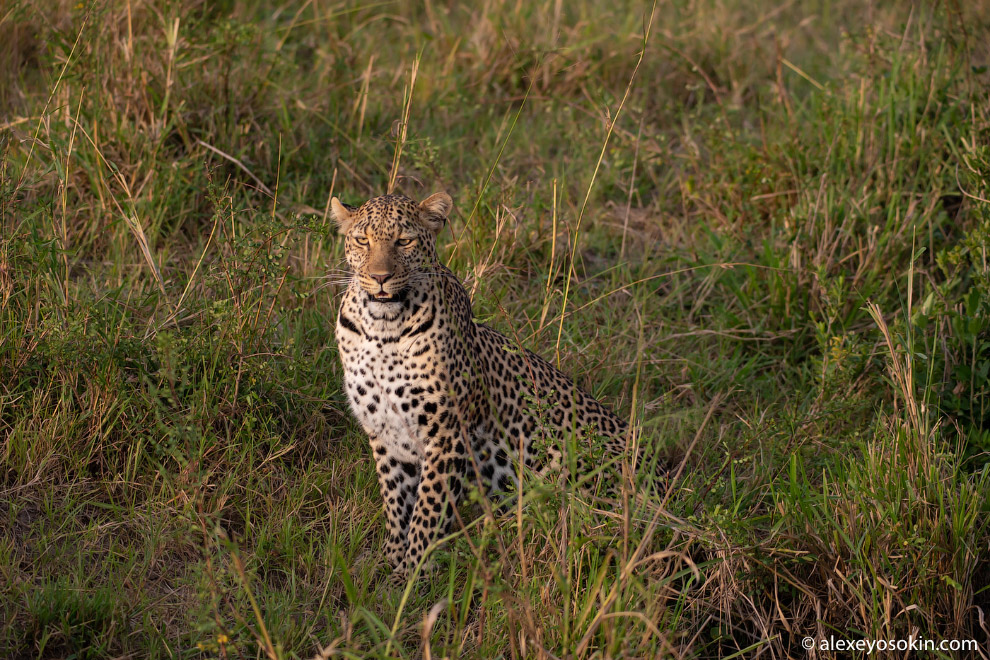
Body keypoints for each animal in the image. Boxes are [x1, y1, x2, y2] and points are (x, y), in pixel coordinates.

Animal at [334, 191, 668, 584]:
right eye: (362, 240)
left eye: (404, 241)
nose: (380, 277)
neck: (382, 330)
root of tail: (666, 482)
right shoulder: (385, 433)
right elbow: (396, 503)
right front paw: (388, 561)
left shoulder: (447, 433)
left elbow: (427, 510)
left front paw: (410, 575)